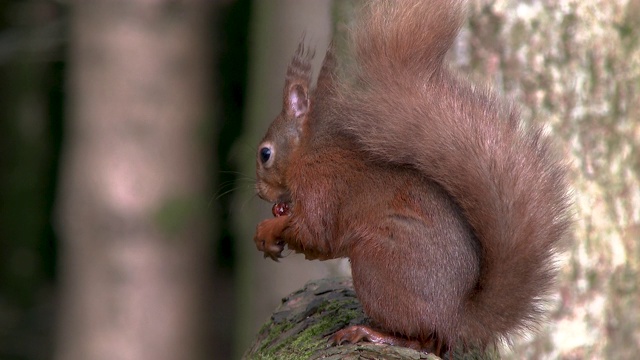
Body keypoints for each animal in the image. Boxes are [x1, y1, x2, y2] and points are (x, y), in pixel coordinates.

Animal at [252, 0, 572, 354]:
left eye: (265, 154)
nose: (260, 192)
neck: (308, 154)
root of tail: (455, 318)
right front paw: (276, 215)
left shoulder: (320, 188)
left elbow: (313, 235)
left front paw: (267, 229)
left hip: (378, 265)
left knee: (423, 339)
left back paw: (369, 332)